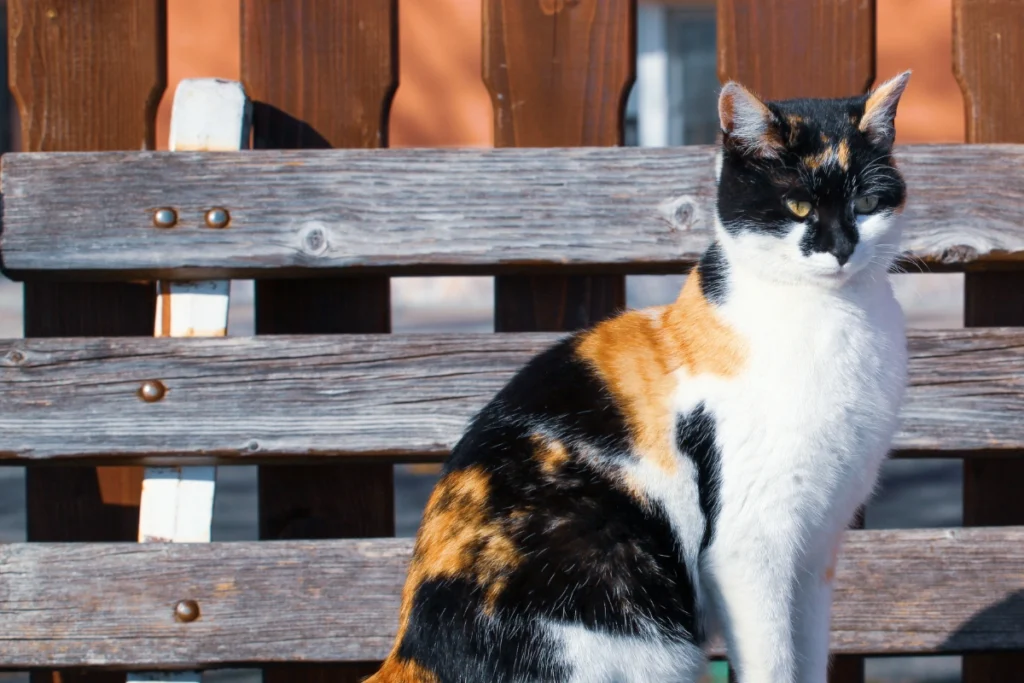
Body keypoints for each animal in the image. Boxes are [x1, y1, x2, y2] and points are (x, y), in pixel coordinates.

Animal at [364, 70, 909, 683]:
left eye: (866, 203)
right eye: (797, 205)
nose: (841, 248)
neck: (834, 320)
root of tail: (410, 651)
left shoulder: (816, 550)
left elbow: (808, 654)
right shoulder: (748, 545)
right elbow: (772, 663)